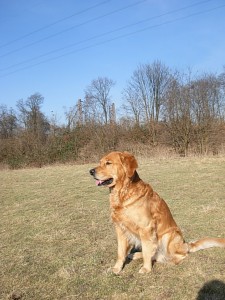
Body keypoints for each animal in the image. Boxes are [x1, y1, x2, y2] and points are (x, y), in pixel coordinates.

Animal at [89, 152, 225, 274]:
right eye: (100, 162)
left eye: (108, 163)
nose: (90, 171)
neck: (123, 194)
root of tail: (186, 245)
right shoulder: (120, 228)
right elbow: (121, 252)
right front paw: (117, 268)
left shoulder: (146, 227)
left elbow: (147, 251)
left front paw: (146, 269)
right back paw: (135, 255)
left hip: (169, 236)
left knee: (178, 255)